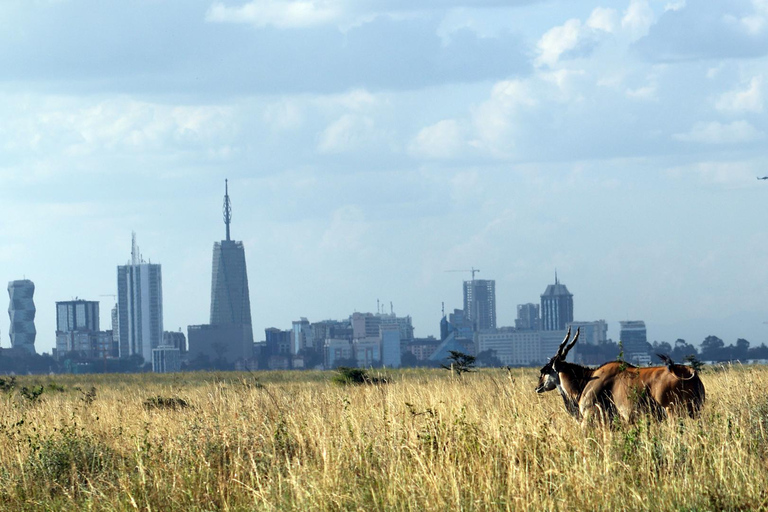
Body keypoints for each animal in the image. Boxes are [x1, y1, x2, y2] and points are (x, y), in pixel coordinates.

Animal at [536, 330, 704, 422]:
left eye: (545, 370)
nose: (537, 387)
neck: (588, 379)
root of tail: (689, 371)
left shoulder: (590, 416)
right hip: (695, 412)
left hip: (673, 413)